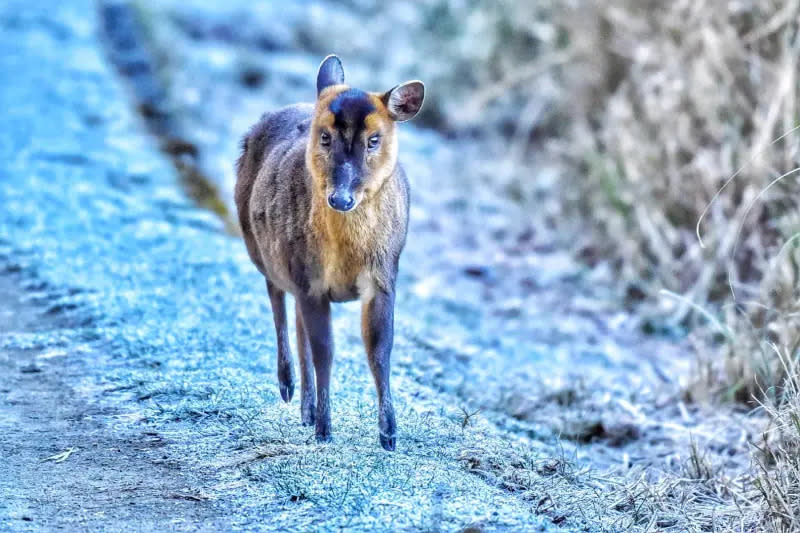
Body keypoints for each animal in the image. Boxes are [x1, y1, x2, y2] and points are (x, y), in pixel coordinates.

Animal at [234, 55, 424, 448]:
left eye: (374, 139)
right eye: (324, 136)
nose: (341, 198)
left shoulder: (384, 276)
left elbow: (380, 350)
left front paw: (388, 433)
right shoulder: (310, 279)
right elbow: (325, 351)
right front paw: (325, 429)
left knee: (296, 321)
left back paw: (305, 408)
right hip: (263, 249)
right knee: (278, 302)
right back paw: (289, 388)